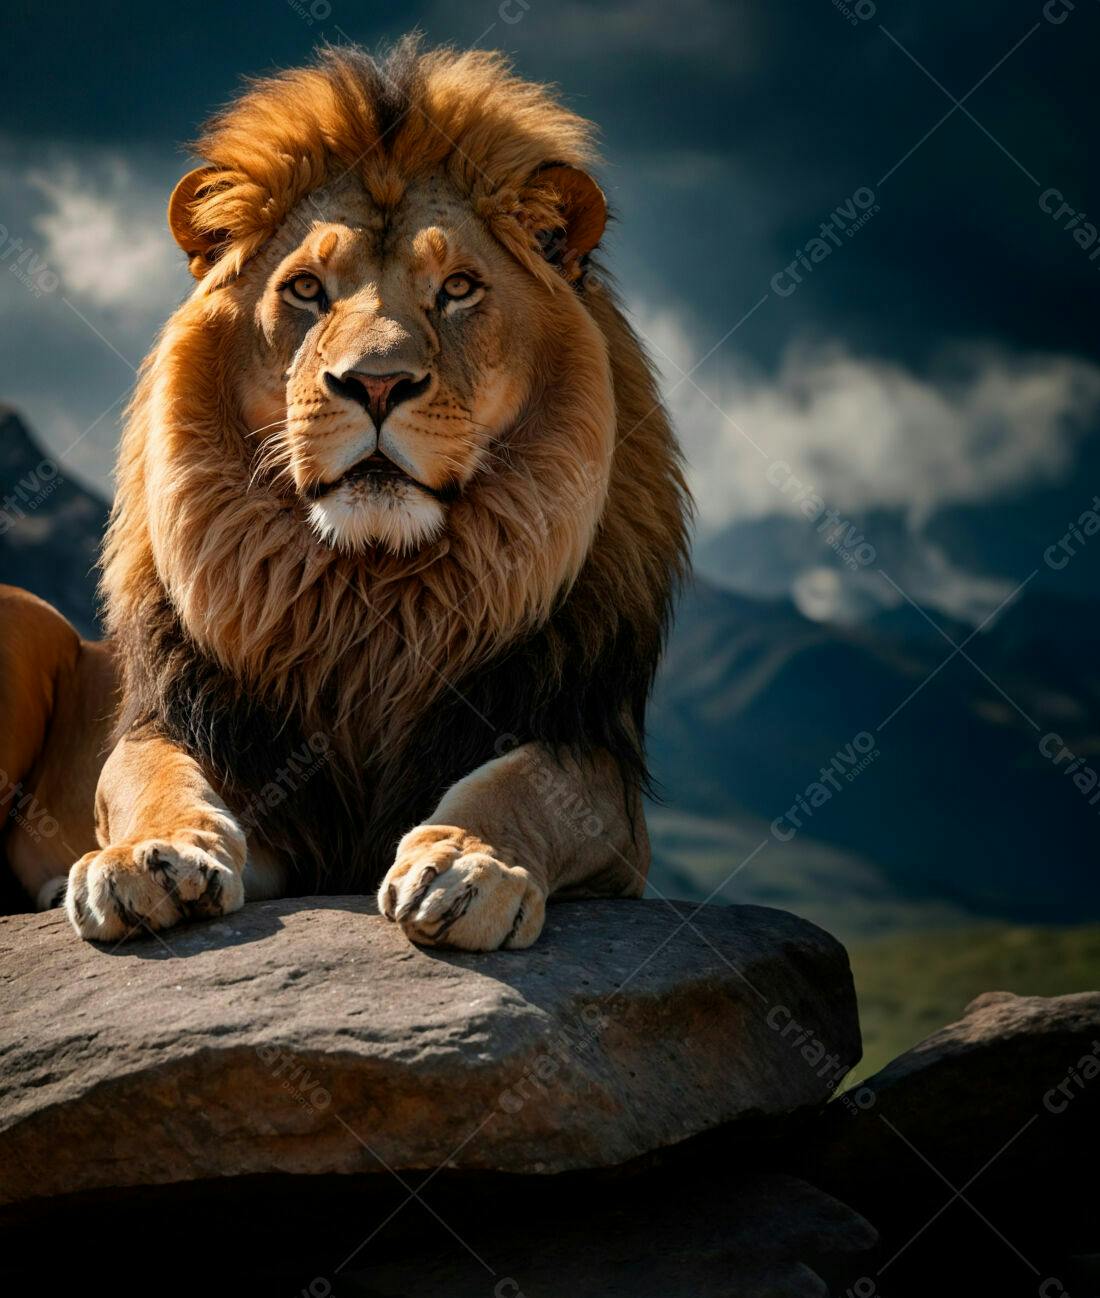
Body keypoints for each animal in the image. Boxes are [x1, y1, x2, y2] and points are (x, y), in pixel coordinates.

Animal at [0, 38, 689, 951]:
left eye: (459, 288)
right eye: (305, 289)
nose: (377, 382)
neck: (368, 599)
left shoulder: (593, 756)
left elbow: (523, 785)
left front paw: (467, 865)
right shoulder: (208, 736)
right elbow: (148, 775)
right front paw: (148, 858)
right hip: (23, 615)